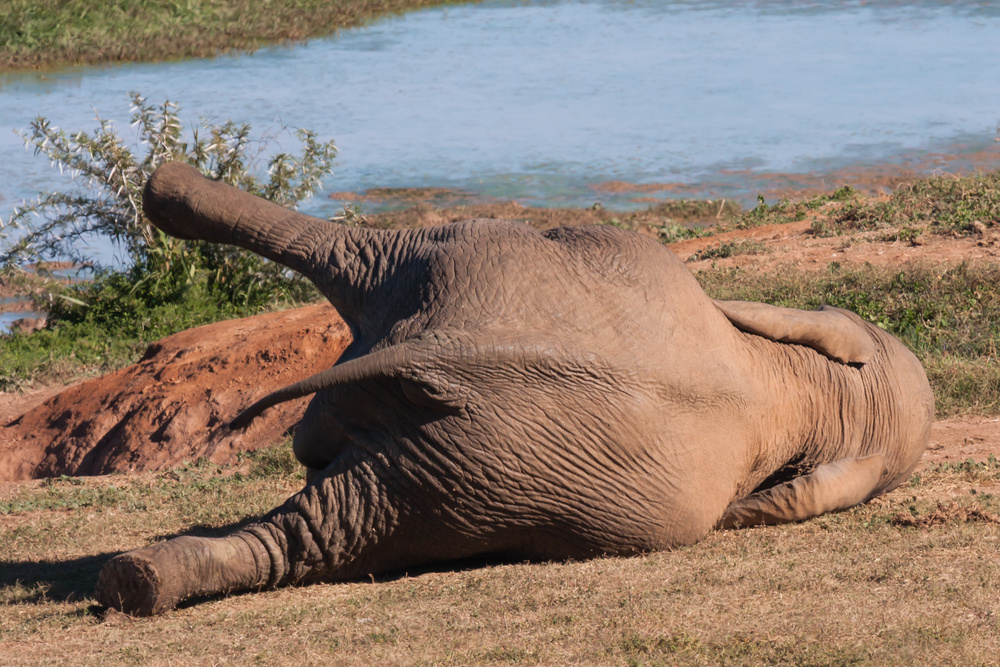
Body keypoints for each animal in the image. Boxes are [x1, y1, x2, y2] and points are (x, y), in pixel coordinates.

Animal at [95, 162, 934, 616]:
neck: (826, 399)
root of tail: (444, 352)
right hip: (472, 263)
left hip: (471, 474)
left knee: (319, 532)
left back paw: (140, 580)